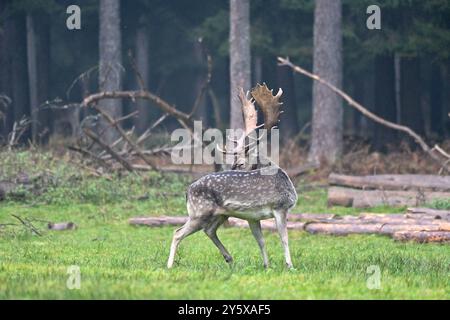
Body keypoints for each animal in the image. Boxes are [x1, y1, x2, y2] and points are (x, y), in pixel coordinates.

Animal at [167, 84, 298, 268]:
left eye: (240, 163)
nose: (231, 168)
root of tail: (187, 191)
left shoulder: (252, 216)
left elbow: (261, 240)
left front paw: (267, 265)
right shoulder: (280, 206)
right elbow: (284, 238)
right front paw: (290, 266)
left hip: (221, 213)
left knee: (209, 230)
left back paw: (229, 258)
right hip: (200, 212)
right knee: (177, 232)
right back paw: (169, 266)